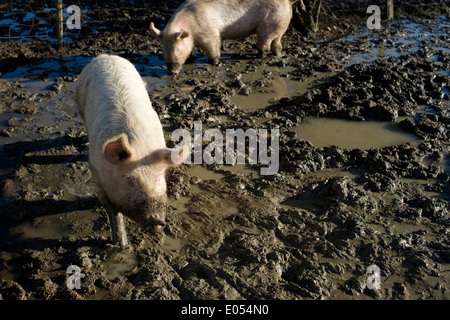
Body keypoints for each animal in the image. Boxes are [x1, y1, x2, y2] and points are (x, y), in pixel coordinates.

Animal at [76, 54, 189, 248]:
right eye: (130, 181)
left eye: (159, 178)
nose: (156, 220)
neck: (139, 148)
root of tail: (105, 55)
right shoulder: (95, 171)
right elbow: (111, 210)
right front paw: (121, 246)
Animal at [150, 0, 296, 74]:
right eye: (163, 50)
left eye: (177, 49)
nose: (171, 72)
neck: (191, 29)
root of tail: (288, 2)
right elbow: (191, 51)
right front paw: (191, 59)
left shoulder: (210, 33)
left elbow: (213, 48)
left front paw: (215, 63)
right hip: (279, 26)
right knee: (277, 44)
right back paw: (277, 54)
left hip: (267, 25)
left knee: (265, 44)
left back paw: (260, 56)